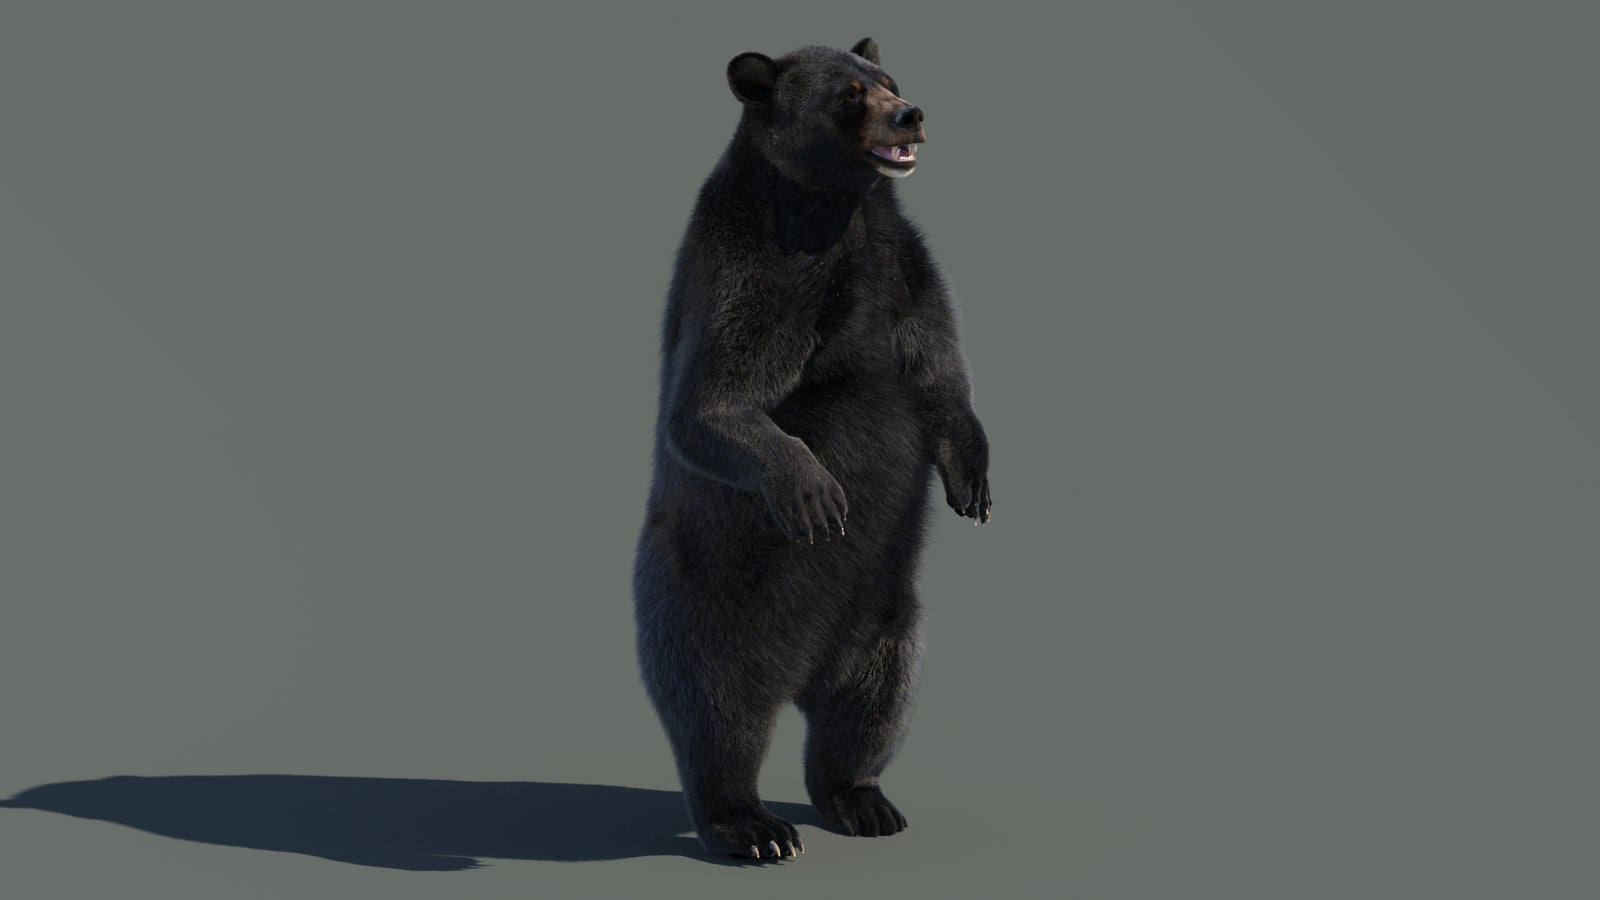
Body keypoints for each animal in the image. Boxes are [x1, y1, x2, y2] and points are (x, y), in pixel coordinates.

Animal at [632, 37, 991, 861]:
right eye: (849, 94)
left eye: (888, 79)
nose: (910, 114)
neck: (835, 207)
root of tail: (799, 672)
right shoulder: (756, 267)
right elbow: (713, 403)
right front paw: (817, 493)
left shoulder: (902, 264)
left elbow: (940, 369)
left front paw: (974, 483)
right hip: (706, 600)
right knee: (717, 709)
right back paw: (752, 826)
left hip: (886, 615)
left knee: (872, 701)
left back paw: (863, 800)